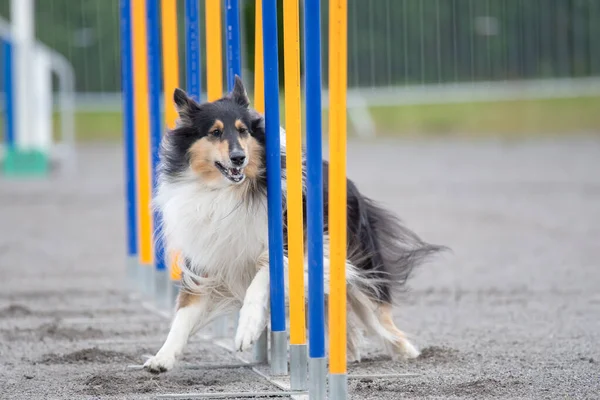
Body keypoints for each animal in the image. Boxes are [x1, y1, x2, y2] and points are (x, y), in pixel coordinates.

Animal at [143, 76, 446, 374]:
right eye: (215, 132)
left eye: (243, 131)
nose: (239, 158)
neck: (228, 192)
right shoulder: (205, 259)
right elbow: (183, 313)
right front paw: (162, 357)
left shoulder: (289, 247)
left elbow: (260, 279)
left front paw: (247, 328)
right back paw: (346, 354)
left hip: (357, 264)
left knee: (379, 314)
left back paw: (405, 351)